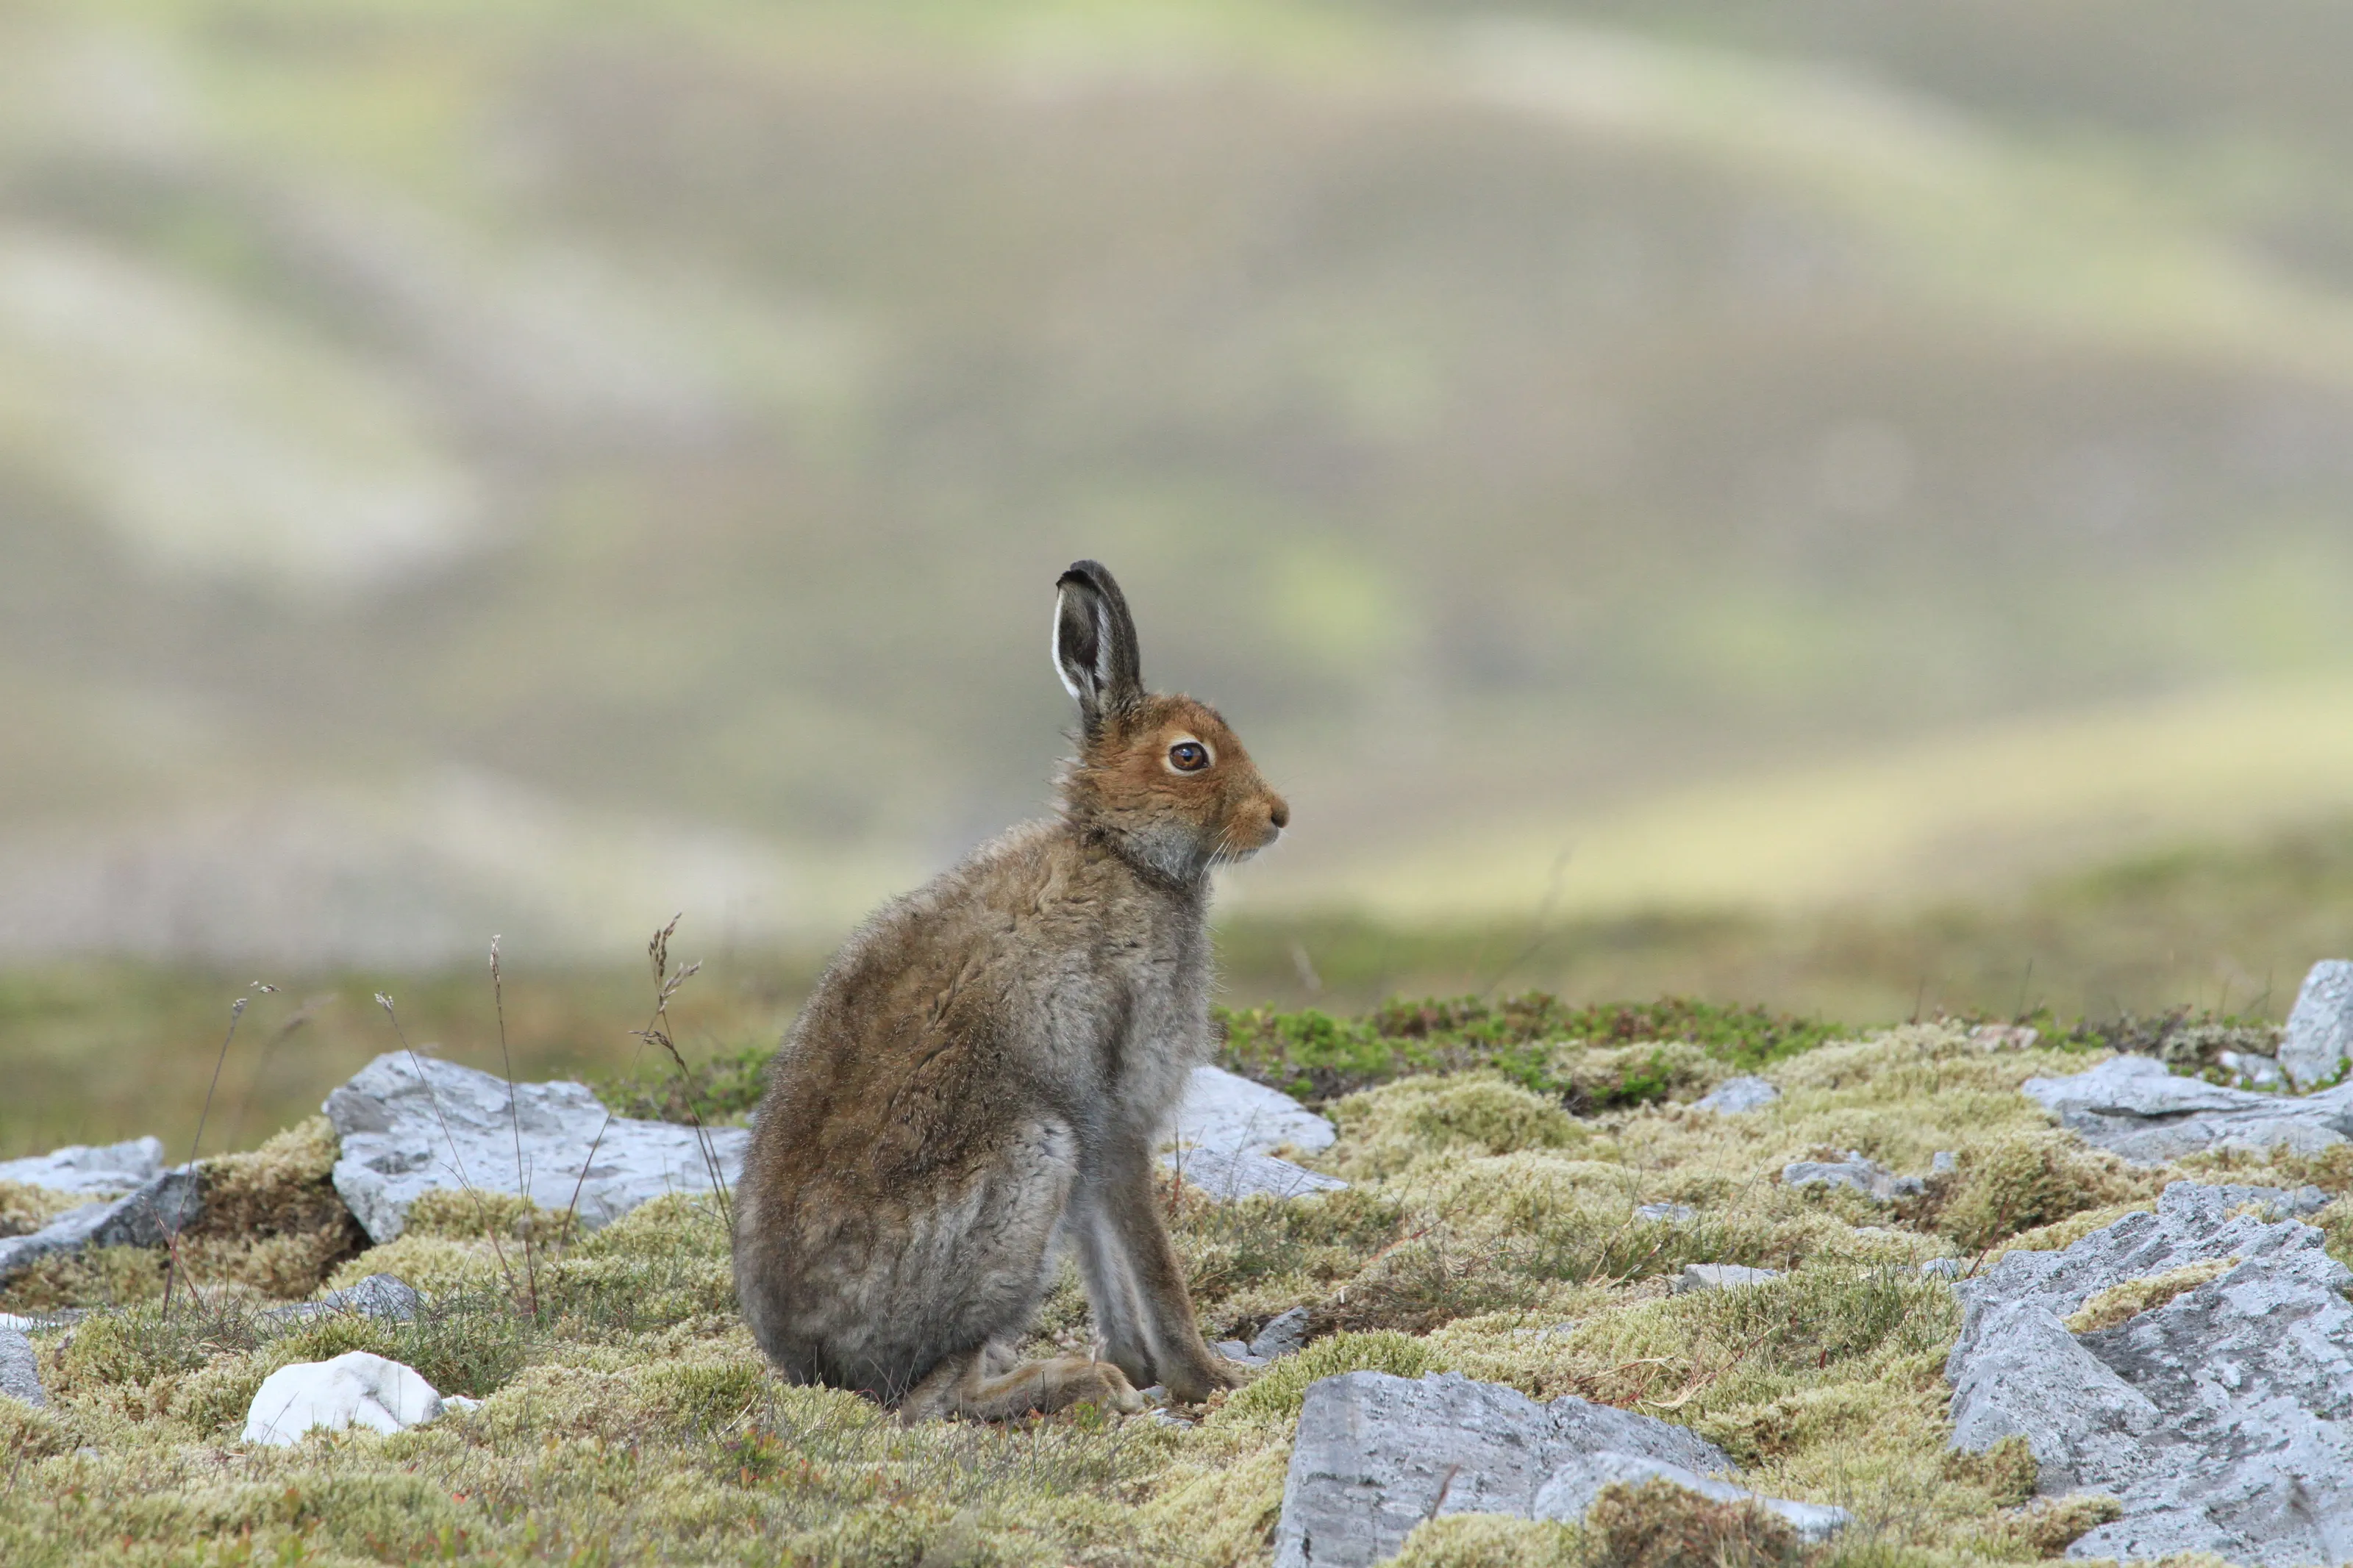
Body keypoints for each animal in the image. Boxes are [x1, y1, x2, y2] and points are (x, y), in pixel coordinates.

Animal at [733, 559, 1291, 1421]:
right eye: (1188, 756)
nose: (1277, 816)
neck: (1122, 853)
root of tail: (819, 1366)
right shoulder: (1119, 1109)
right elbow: (1152, 1261)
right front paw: (1209, 1378)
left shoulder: (1095, 1138)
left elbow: (1103, 1256)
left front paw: (1138, 1362)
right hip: (1028, 1159)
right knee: (933, 1399)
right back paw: (1077, 1382)